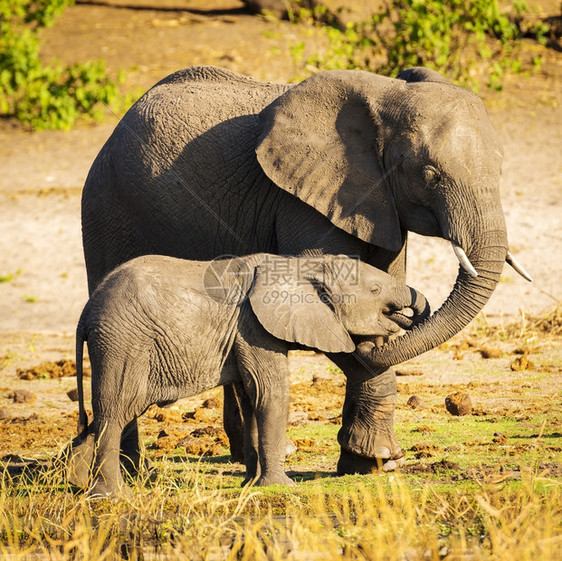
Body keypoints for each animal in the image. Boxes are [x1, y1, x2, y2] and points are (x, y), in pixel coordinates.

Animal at [70, 253, 428, 494]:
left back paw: (75, 482)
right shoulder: (255, 327)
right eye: (375, 289)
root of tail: (85, 313)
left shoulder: (245, 333)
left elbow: (251, 397)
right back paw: (111, 496)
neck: (302, 265)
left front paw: (250, 484)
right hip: (123, 343)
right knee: (116, 411)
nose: (367, 345)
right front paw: (280, 487)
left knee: (108, 415)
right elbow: (271, 393)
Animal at [80, 66, 528, 476]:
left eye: (501, 168)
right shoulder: (303, 200)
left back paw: (243, 459)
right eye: (429, 174)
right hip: (107, 208)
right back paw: (134, 471)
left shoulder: (379, 203)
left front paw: (365, 464)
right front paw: (378, 459)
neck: (386, 96)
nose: (405, 318)